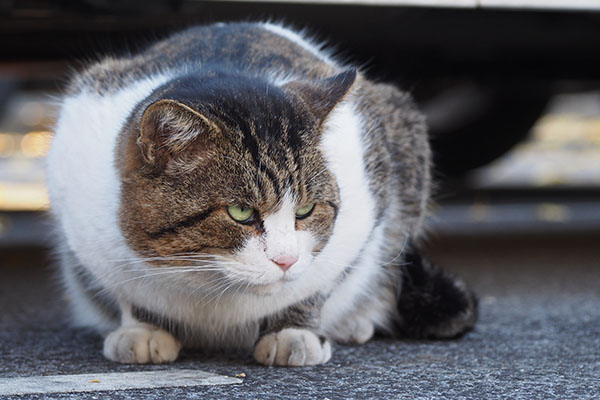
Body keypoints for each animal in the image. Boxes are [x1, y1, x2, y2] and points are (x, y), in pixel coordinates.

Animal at [45, 21, 478, 366]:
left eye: (305, 210)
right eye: (240, 212)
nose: (285, 260)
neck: (208, 286)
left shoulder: (364, 205)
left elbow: (318, 285)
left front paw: (293, 332)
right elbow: (130, 293)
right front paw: (144, 328)